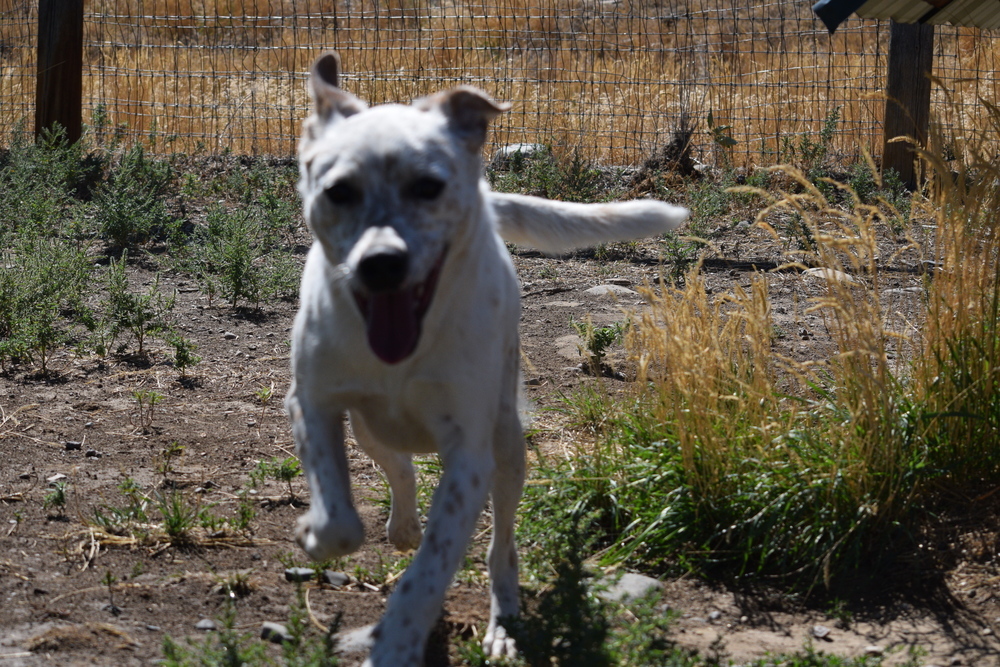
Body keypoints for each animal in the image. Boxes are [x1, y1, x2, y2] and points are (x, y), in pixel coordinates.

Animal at [286, 53, 684, 667]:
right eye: (339, 191)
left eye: (429, 186)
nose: (381, 263)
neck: (405, 352)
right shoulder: (315, 405)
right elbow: (340, 521)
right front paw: (320, 533)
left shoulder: (469, 460)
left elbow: (430, 571)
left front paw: (398, 639)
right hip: (368, 425)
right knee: (396, 464)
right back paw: (403, 524)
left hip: (507, 445)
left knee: (502, 544)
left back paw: (502, 617)